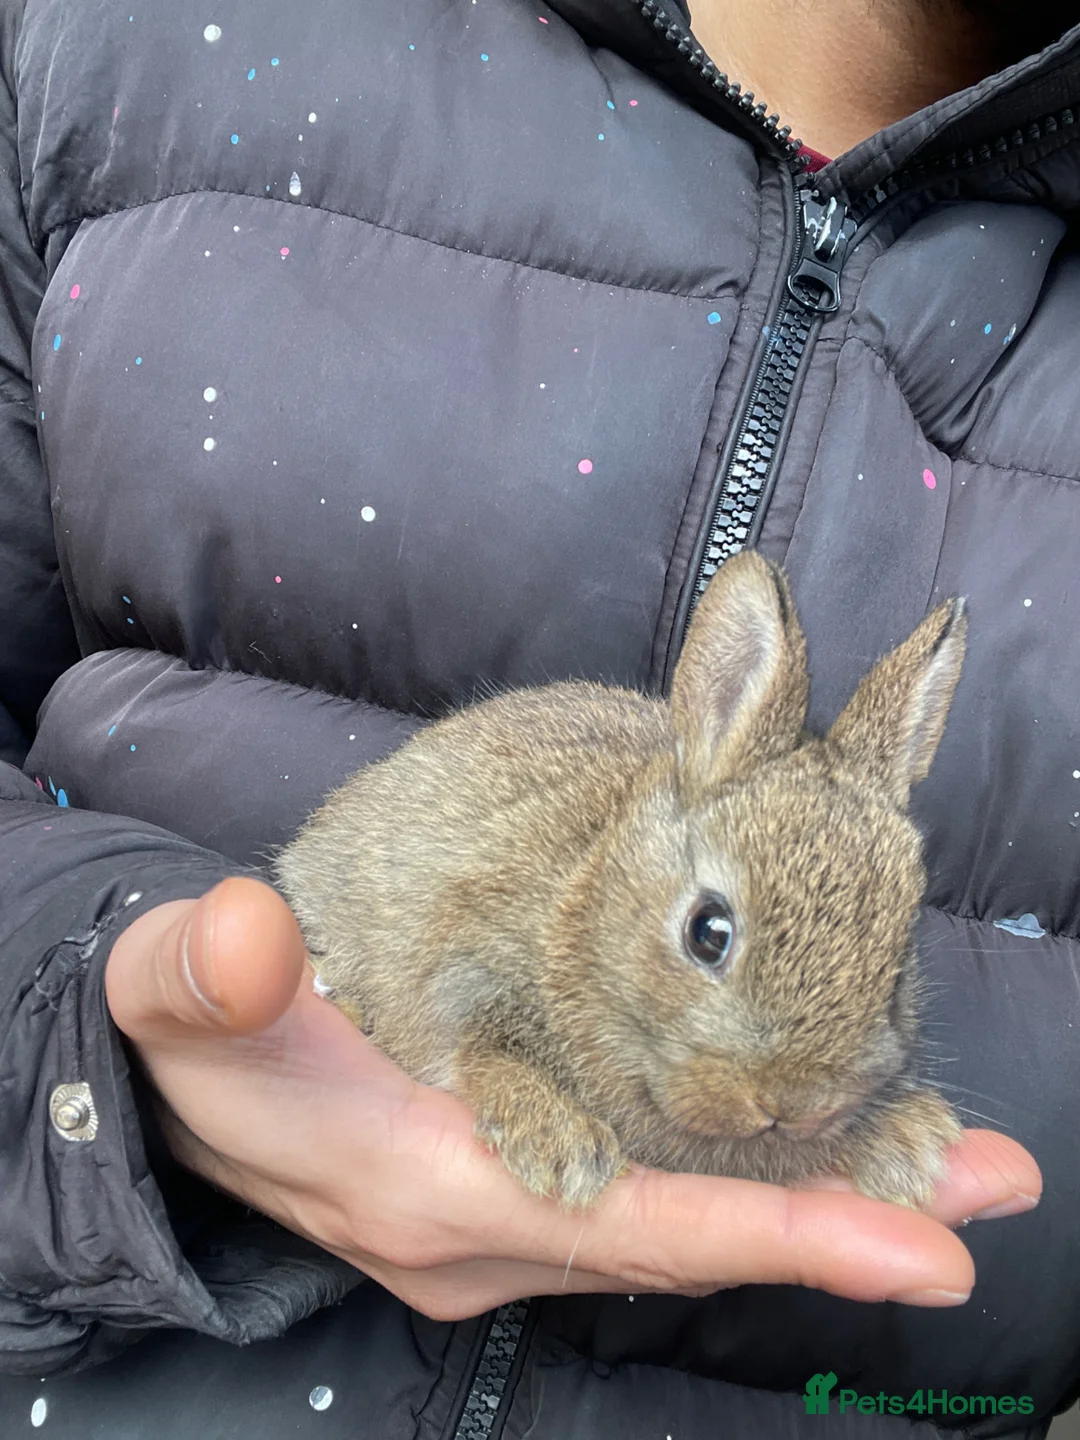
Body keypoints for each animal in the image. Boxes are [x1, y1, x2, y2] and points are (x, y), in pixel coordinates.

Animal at [276, 549, 967, 1211]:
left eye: (897, 972)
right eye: (707, 933)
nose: (792, 1105)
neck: (588, 907)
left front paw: (910, 1140)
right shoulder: (463, 962)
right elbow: (479, 1047)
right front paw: (563, 1148)